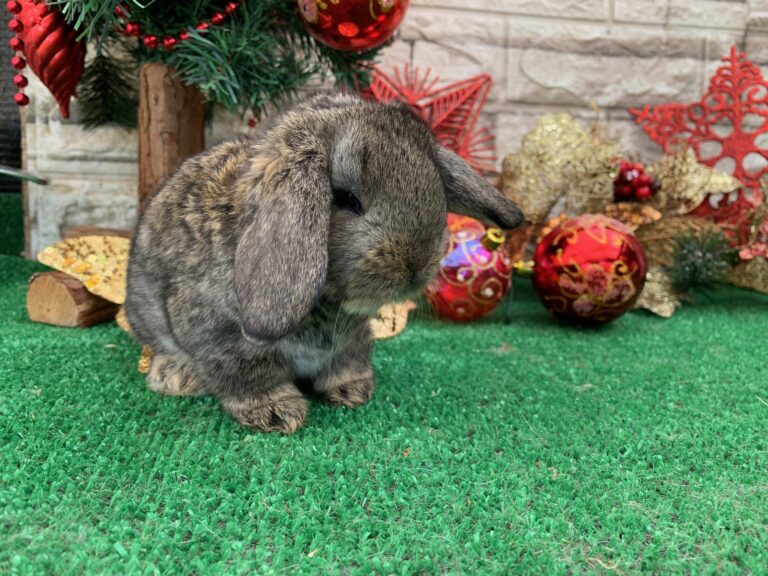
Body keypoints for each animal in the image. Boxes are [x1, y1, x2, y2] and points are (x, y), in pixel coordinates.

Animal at [124, 94, 520, 434]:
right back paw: (177, 376)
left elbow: (348, 360)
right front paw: (276, 412)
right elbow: (251, 373)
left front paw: (352, 391)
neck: (326, 302)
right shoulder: (223, 338)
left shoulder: (352, 340)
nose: (415, 266)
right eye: (345, 198)